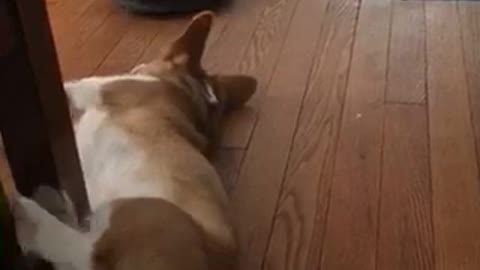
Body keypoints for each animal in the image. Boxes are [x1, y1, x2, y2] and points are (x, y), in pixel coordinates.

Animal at [10, 10, 255, 270]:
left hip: (133, 210)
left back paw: (29, 214)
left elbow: (71, 87)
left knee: (83, 254)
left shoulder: (88, 90)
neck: (188, 91)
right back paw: (56, 202)